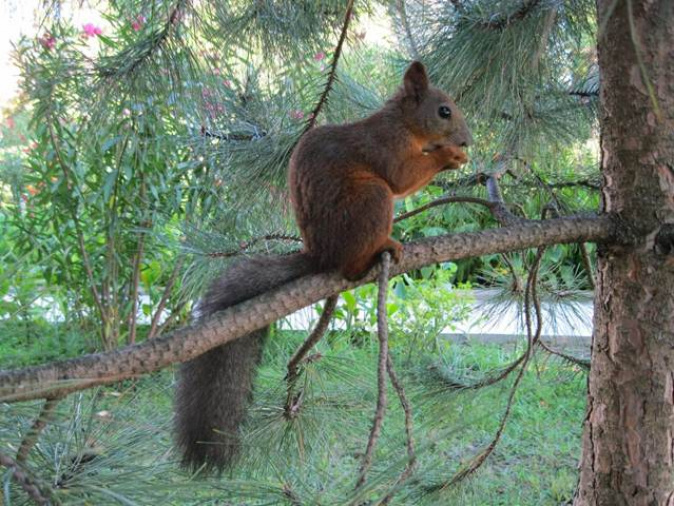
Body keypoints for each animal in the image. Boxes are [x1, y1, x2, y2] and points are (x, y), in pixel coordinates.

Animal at [173, 61, 470, 472]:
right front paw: (448, 157)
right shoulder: (385, 147)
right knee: (356, 255)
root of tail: (321, 255)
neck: (402, 123)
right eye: (444, 111)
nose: (467, 141)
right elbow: (402, 177)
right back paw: (381, 249)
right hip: (370, 200)